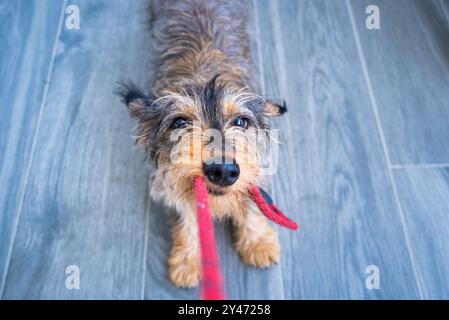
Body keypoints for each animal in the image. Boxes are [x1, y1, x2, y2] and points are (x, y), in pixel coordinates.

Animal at [118, 0, 288, 288]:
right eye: (179, 123)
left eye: (241, 122)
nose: (223, 170)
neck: (203, 70)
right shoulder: (168, 183)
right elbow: (187, 218)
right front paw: (187, 260)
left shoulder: (257, 166)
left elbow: (252, 202)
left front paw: (257, 242)